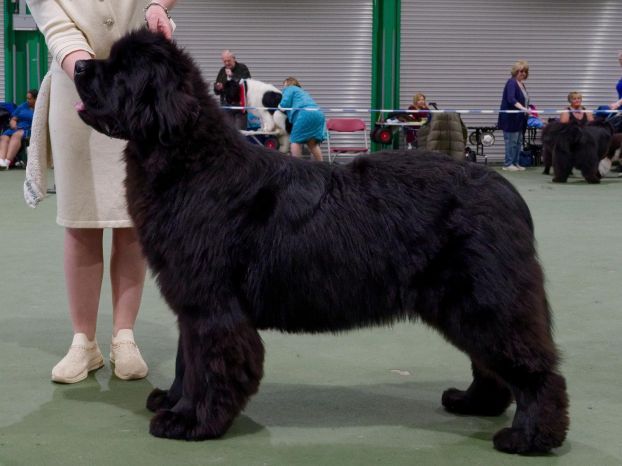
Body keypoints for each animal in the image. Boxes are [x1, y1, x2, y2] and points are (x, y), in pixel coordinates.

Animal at [72, 30, 572, 456]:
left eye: (120, 69)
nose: (77, 66)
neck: (189, 158)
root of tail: (505, 191)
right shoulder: (192, 302)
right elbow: (186, 361)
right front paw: (174, 402)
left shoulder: (212, 305)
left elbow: (209, 364)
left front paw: (192, 421)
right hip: (468, 303)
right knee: (491, 362)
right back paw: (474, 403)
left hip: (485, 300)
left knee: (534, 367)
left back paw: (531, 436)